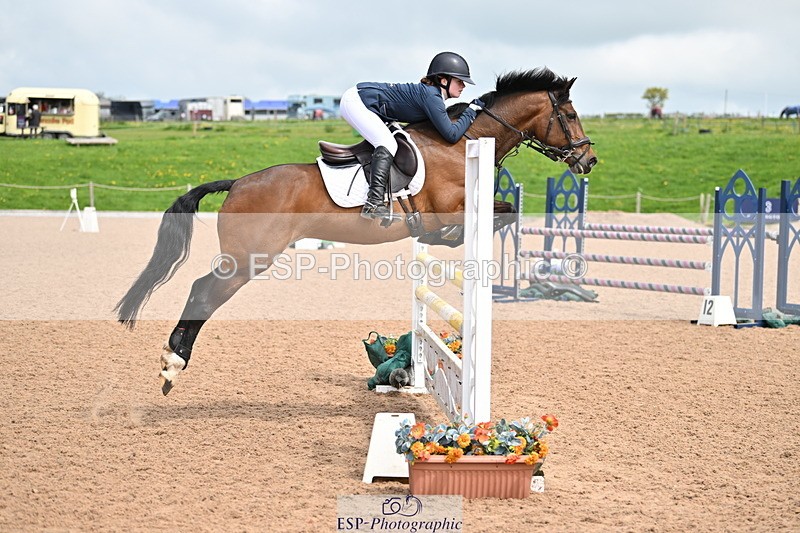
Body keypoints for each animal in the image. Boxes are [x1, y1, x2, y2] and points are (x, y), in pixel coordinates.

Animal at [114, 67, 598, 395]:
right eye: (571, 114)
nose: (588, 160)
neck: (461, 141)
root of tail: (237, 183)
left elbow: (502, 213)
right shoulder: (449, 211)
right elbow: (502, 213)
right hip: (248, 260)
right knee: (202, 292)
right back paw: (172, 363)